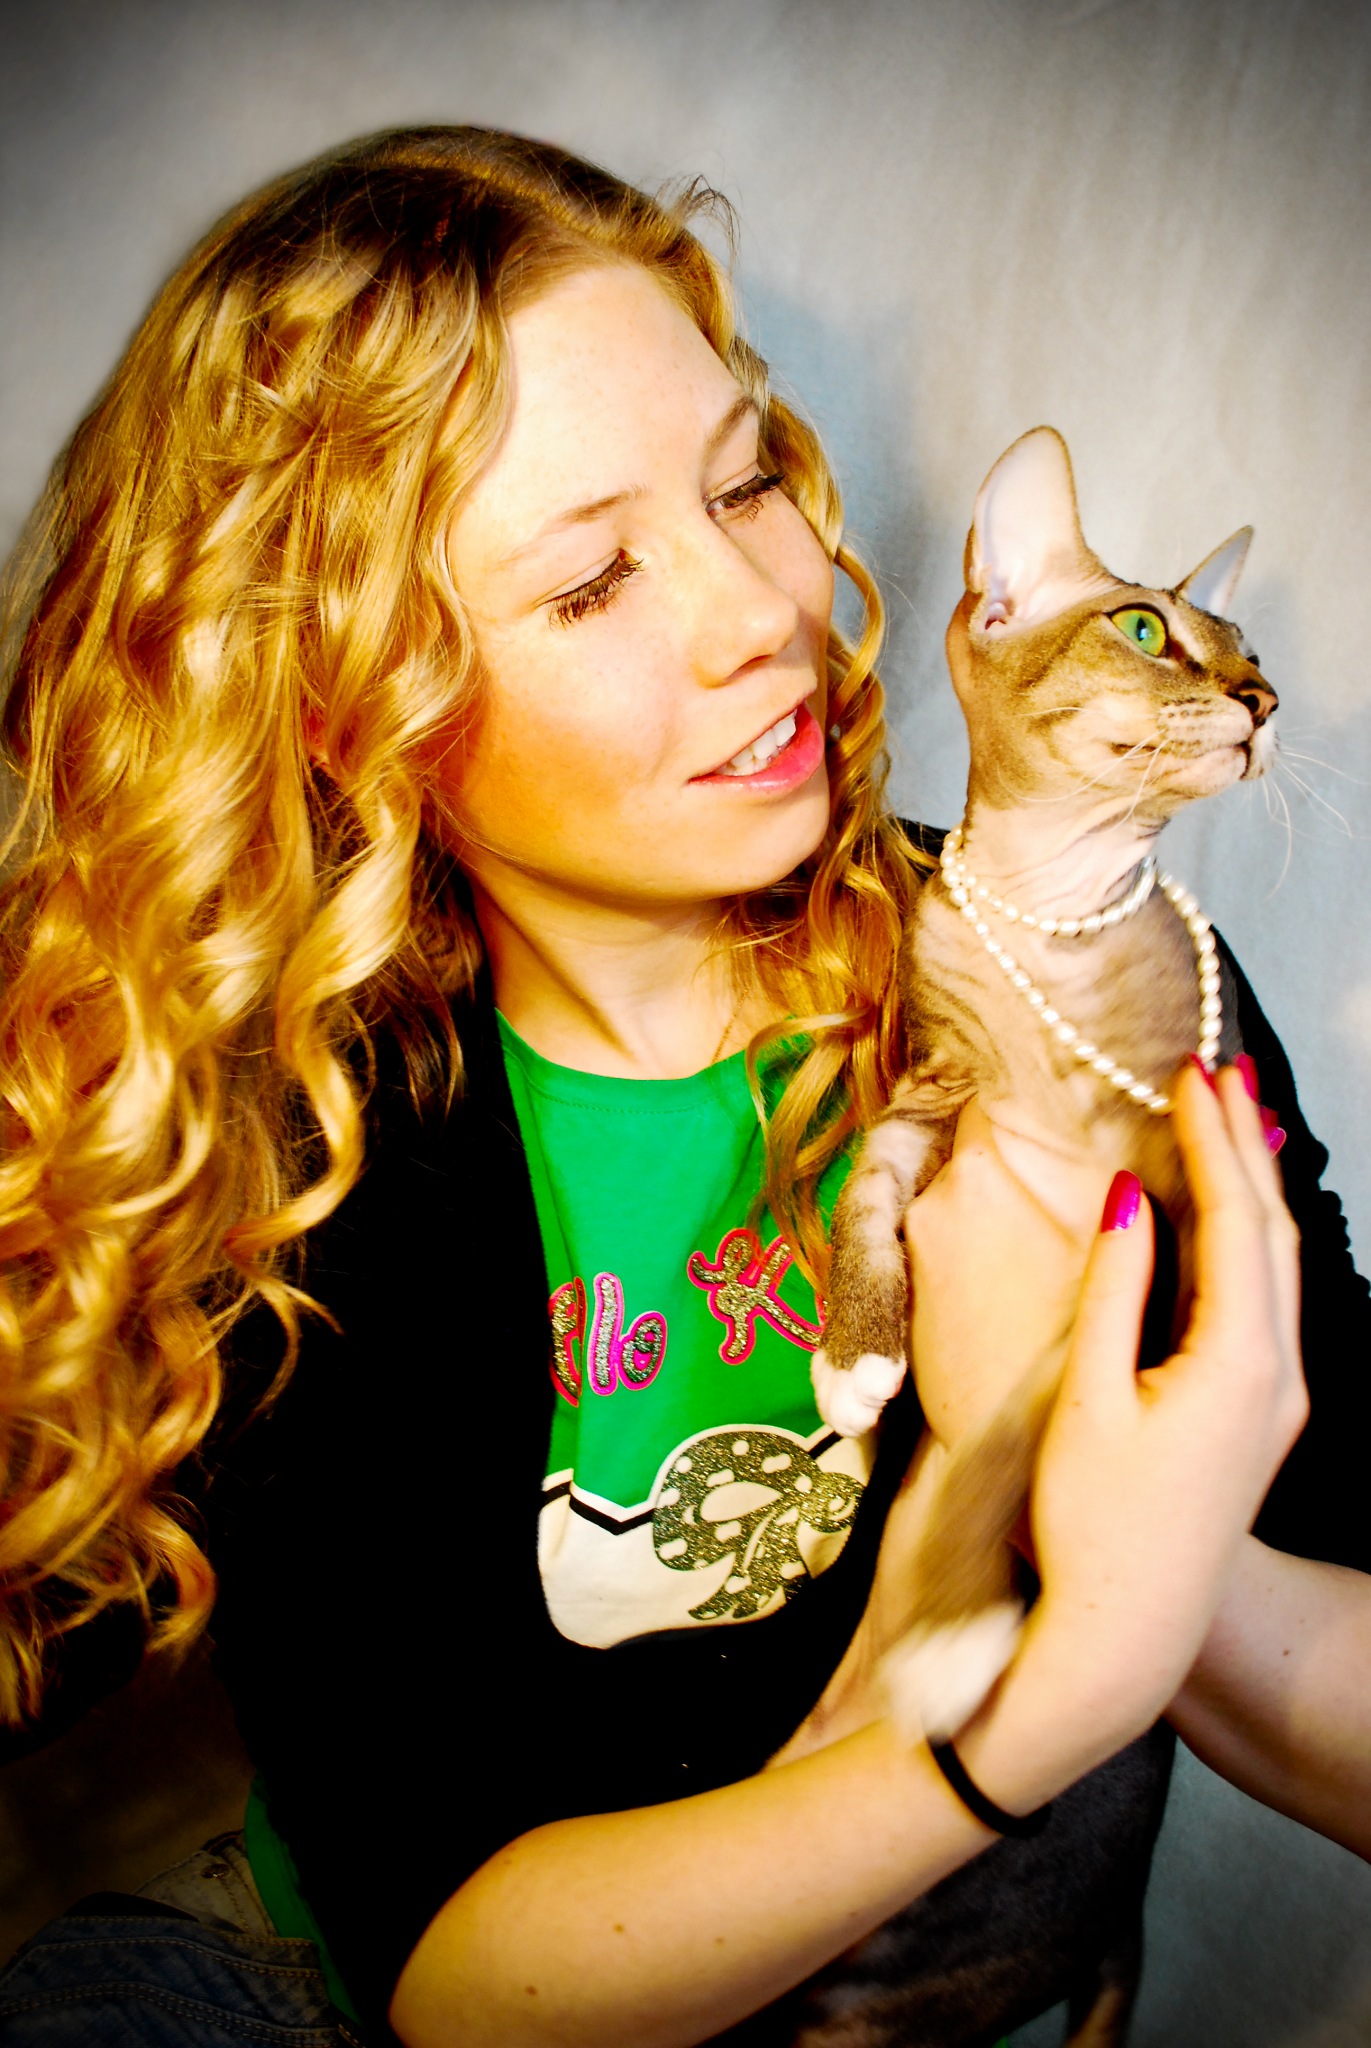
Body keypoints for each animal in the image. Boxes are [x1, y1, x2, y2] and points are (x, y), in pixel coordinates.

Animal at [811, 425, 1277, 1748]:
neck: (1052, 922)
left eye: (1251, 648)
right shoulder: (933, 1096)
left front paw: (949, 1623)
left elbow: (1023, 1419)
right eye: (1144, 629)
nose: (1264, 699)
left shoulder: (1162, 1203)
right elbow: (864, 1192)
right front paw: (857, 1353)